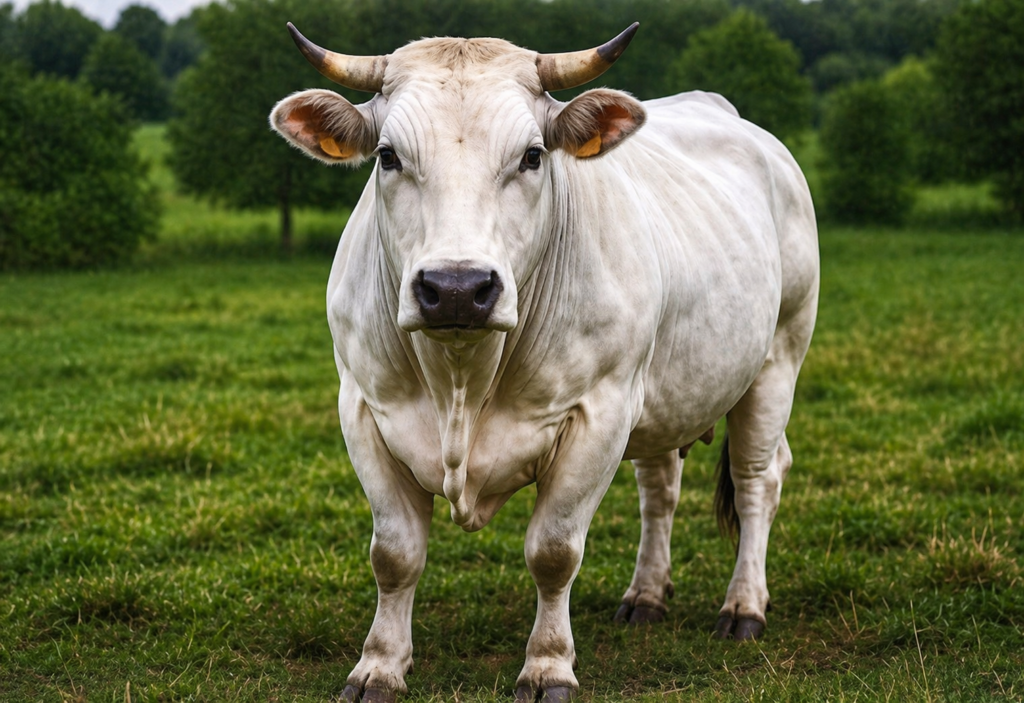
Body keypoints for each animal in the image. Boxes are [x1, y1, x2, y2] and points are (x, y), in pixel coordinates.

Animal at [270, 22, 818, 703]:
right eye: (388, 156)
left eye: (533, 156)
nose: (456, 288)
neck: (461, 380)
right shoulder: (364, 408)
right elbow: (394, 554)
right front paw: (379, 666)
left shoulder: (598, 413)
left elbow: (554, 552)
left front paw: (548, 666)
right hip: (665, 393)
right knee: (660, 489)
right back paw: (646, 596)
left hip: (778, 359)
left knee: (756, 482)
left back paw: (744, 606)